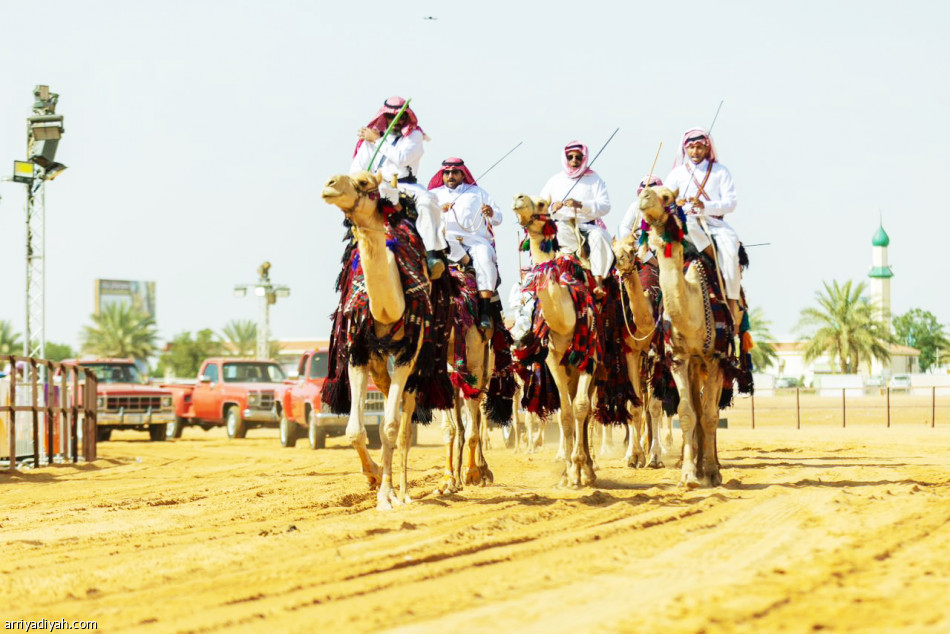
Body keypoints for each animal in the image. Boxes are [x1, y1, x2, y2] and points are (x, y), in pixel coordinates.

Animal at [320, 172, 424, 508]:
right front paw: (374, 475)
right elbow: (355, 430)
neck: (390, 308)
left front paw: (387, 496)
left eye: (365, 182)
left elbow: (390, 428)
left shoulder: (408, 352)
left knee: (405, 422)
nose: (329, 184)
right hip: (380, 363)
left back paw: (405, 492)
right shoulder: (359, 351)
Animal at [512, 193, 596, 484]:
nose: (518, 198)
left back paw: (589, 468)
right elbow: (566, 412)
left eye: (541, 204)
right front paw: (570, 471)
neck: (565, 317)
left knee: (588, 409)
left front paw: (580, 467)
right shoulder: (553, 359)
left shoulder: (589, 355)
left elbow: (581, 407)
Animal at [616, 232, 676, 464]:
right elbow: (634, 407)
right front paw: (634, 457)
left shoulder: (658, 354)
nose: (619, 261)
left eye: (631, 250)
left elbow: (655, 407)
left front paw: (655, 456)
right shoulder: (631, 353)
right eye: (613, 249)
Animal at [640, 185, 728, 486]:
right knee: (696, 409)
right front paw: (689, 474)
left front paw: (712, 472)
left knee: (710, 410)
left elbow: (710, 415)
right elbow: (687, 412)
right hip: (691, 365)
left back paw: (711, 465)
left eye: (667, 196)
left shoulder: (714, 358)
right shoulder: (678, 358)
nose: (644, 196)